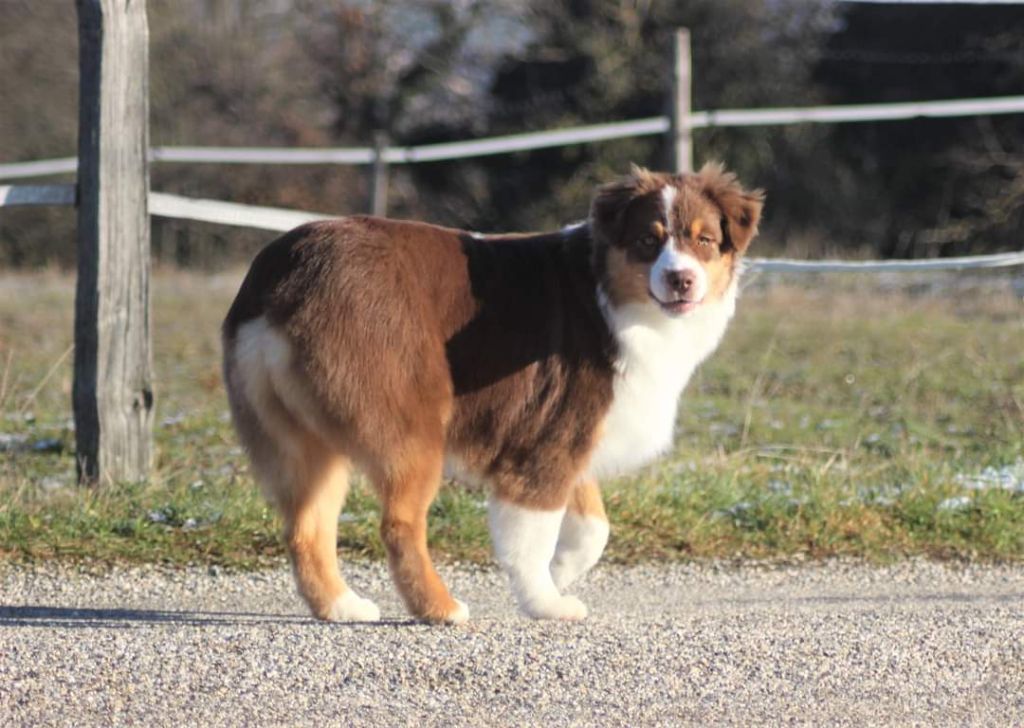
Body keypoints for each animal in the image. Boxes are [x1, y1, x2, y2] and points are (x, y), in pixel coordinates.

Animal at [226, 162, 770, 622]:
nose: (681, 280)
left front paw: (559, 575)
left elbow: (594, 527)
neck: (607, 293)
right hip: (410, 424)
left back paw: (341, 606)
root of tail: (285, 275)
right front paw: (544, 601)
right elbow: (533, 536)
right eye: (646, 240)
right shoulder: (546, 440)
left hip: (303, 440)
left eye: (704, 240)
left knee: (305, 529)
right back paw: (440, 608)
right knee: (398, 524)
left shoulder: (567, 431)